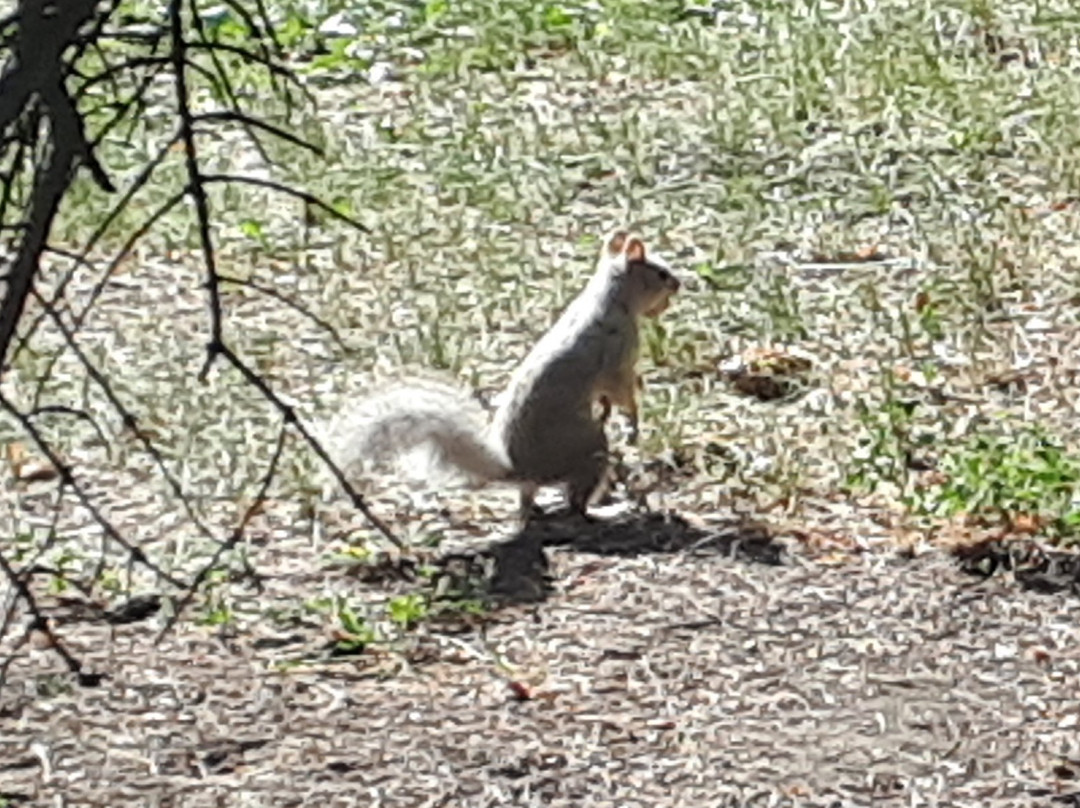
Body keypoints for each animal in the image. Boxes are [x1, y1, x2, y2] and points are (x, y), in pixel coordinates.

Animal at [328, 229, 678, 518]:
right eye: (661, 272)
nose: (679, 283)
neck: (612, 299)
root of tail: (520, 470)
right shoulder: (617, 357)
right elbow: (623, 392)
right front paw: (633, 420)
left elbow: (608, 397)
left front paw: (609, 412)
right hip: (590, 450)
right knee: (575, 503)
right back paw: (610, 510)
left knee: (529, 499)